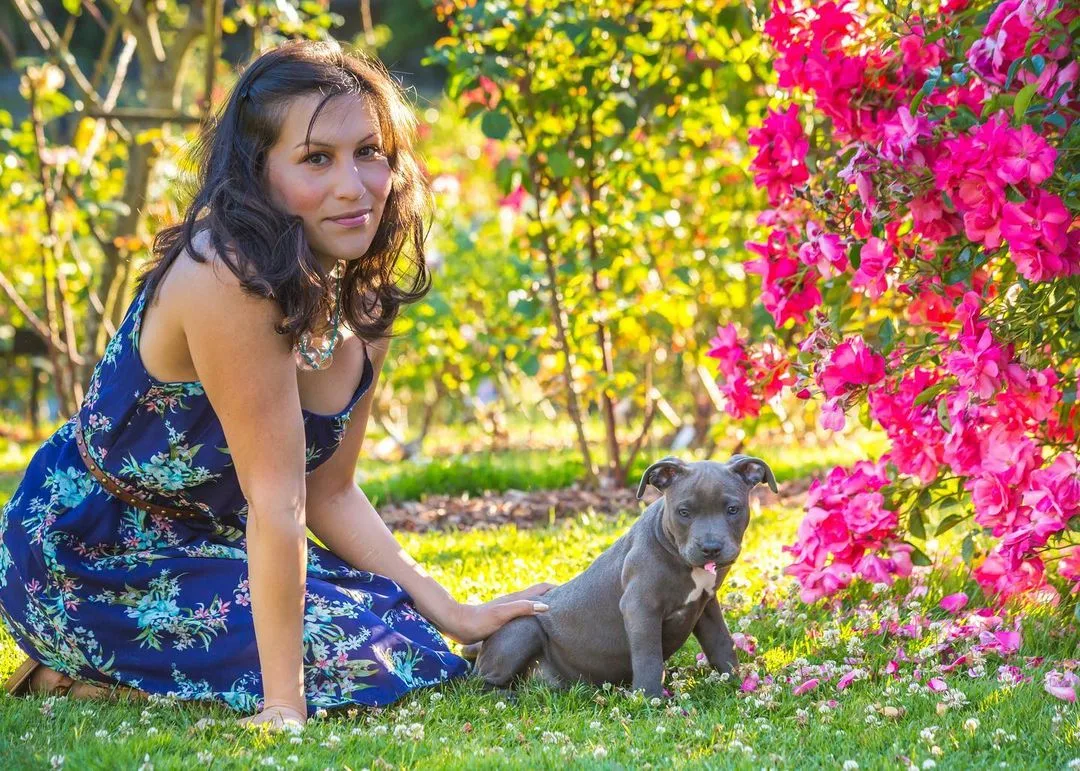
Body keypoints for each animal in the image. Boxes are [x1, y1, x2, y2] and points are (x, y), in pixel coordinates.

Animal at [464, 453, 777, 695]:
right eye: (684, 512)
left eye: (733, 509)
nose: (711, 548)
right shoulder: (640, 607)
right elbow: (648, 656)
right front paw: (650, 698)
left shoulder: (706, 606)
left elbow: (721, 644)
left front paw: (736, 682)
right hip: (523, 626)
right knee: (479, 684)